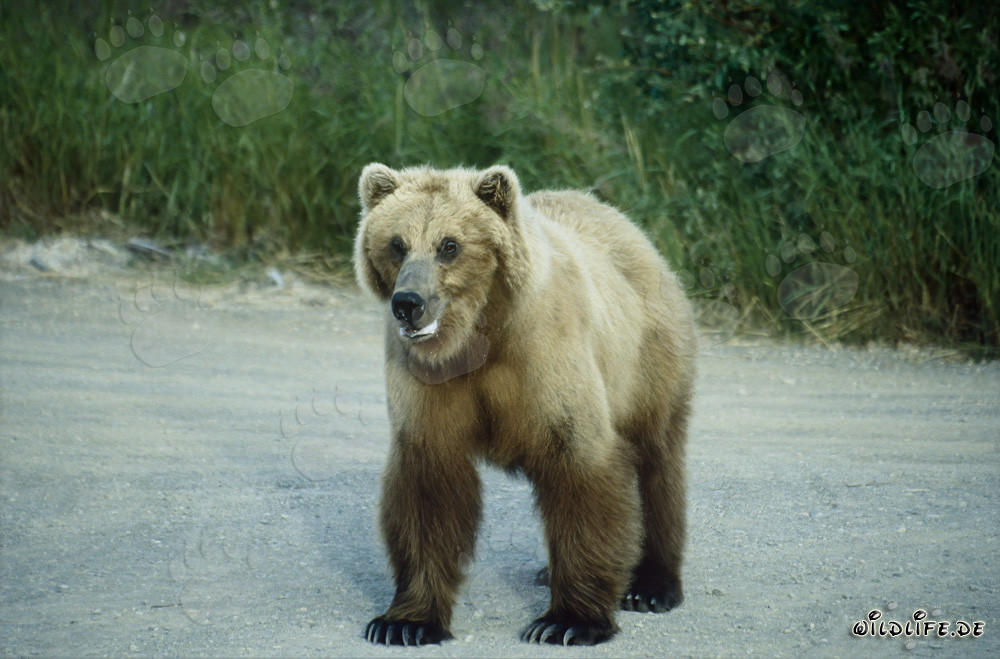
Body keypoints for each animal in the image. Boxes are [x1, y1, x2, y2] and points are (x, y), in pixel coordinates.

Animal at [353, 163, 696, 646]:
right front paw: (404, 623)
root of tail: (630, 227)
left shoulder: (546, 360)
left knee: (657, 460)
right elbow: (427, 487)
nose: (408, 304)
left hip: (647, 362)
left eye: (450, 245)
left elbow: (581, 469)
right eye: (396, 244)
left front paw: (566, 621)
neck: (479, 335)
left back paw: (651, 586)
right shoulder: (430, 385)